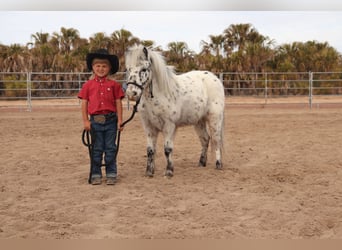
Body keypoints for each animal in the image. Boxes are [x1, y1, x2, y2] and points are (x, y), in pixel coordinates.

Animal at [124, 45, 226, 178]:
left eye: (144, 69)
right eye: (128, 69)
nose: (131, 93)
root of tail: (214, 78)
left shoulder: (169, 126)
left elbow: (167, 149)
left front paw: (169, 171)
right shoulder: (149, 127)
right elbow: (150, 150)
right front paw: (149, 172)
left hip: (215, 118)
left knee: (216, 140)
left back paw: (218, 164)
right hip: (199, 121)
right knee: (205, 139)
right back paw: (201, 163)